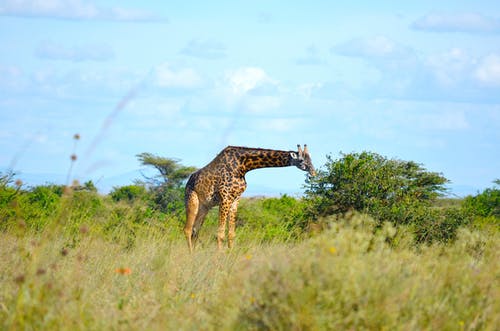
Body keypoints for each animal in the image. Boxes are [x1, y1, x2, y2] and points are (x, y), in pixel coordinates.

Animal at [184, 145, 316, 252]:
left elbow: (231, 234)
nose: (313, 173)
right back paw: (190, 256)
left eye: (311, 159)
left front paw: (229, 255)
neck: (243, 166)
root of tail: (188, 182)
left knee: (195, 230)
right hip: (192, 200)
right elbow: (220, 233)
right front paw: (218, 259)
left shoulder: (235, 199)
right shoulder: (225, 197)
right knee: (188, 229)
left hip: (205, 207)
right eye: (301, 160)